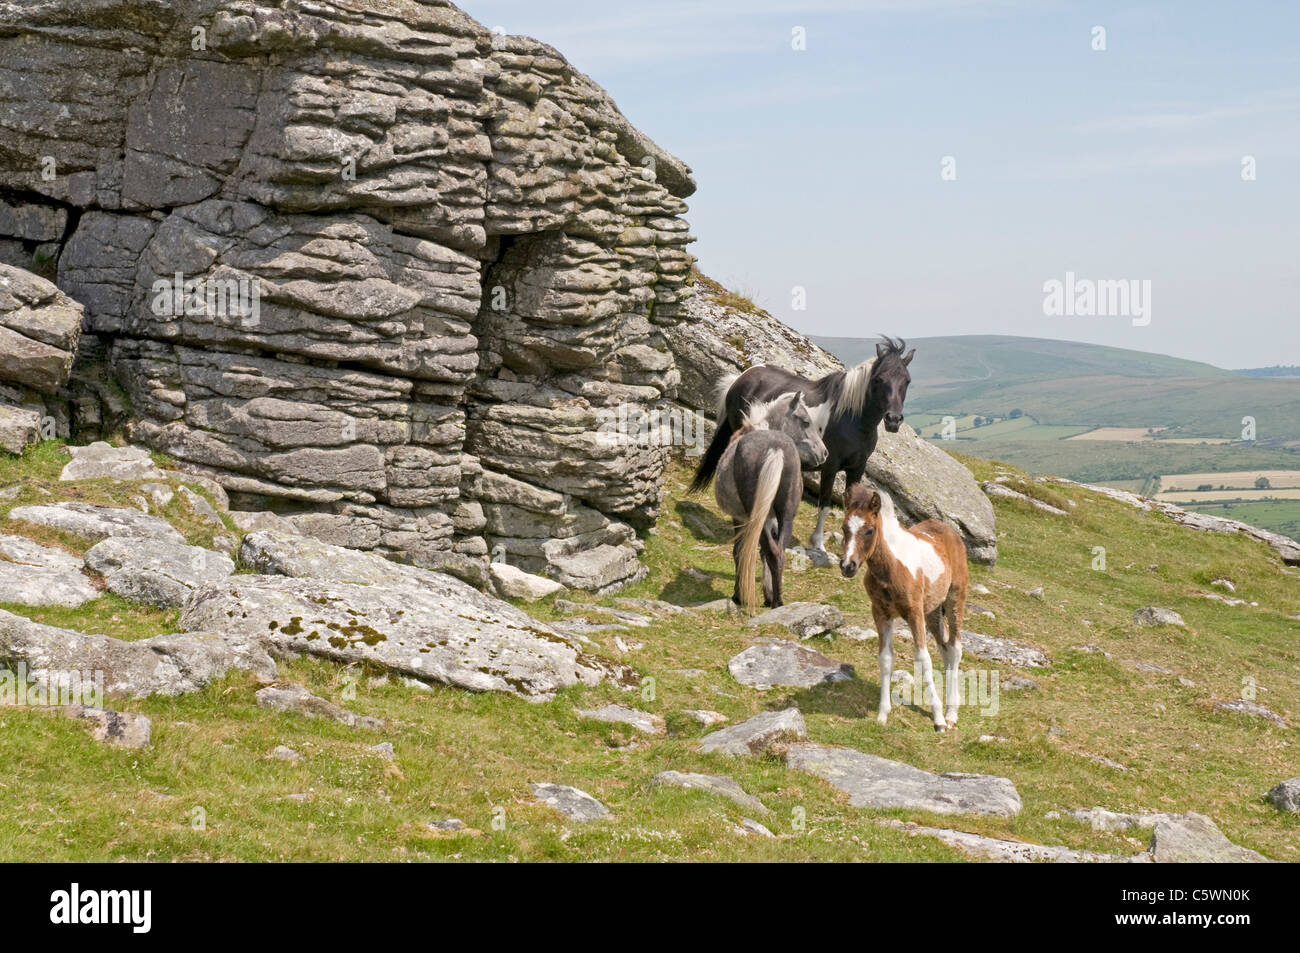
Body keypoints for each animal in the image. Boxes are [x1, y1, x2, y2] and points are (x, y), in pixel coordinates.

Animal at [691, 340, 915, 551]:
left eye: (907, 381)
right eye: (879, 379)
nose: (893, 420)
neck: (853, 419)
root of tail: (742, 377)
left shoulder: (856, 470)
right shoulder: (830, 467)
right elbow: (824, 504)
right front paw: (818, 543)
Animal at [842, 483, 967, 728]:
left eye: (869, 530)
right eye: (844, 528)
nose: (847, 566)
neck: (889, 569)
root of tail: (950, 531)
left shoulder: (914, 612)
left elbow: (923, 659)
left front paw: (938, 719)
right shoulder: (881, 613)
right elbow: (886, 658)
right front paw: (882, 714)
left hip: (954, 599)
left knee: (955, 648)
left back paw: (951, 714)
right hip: (933, 611)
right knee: (945, 648)